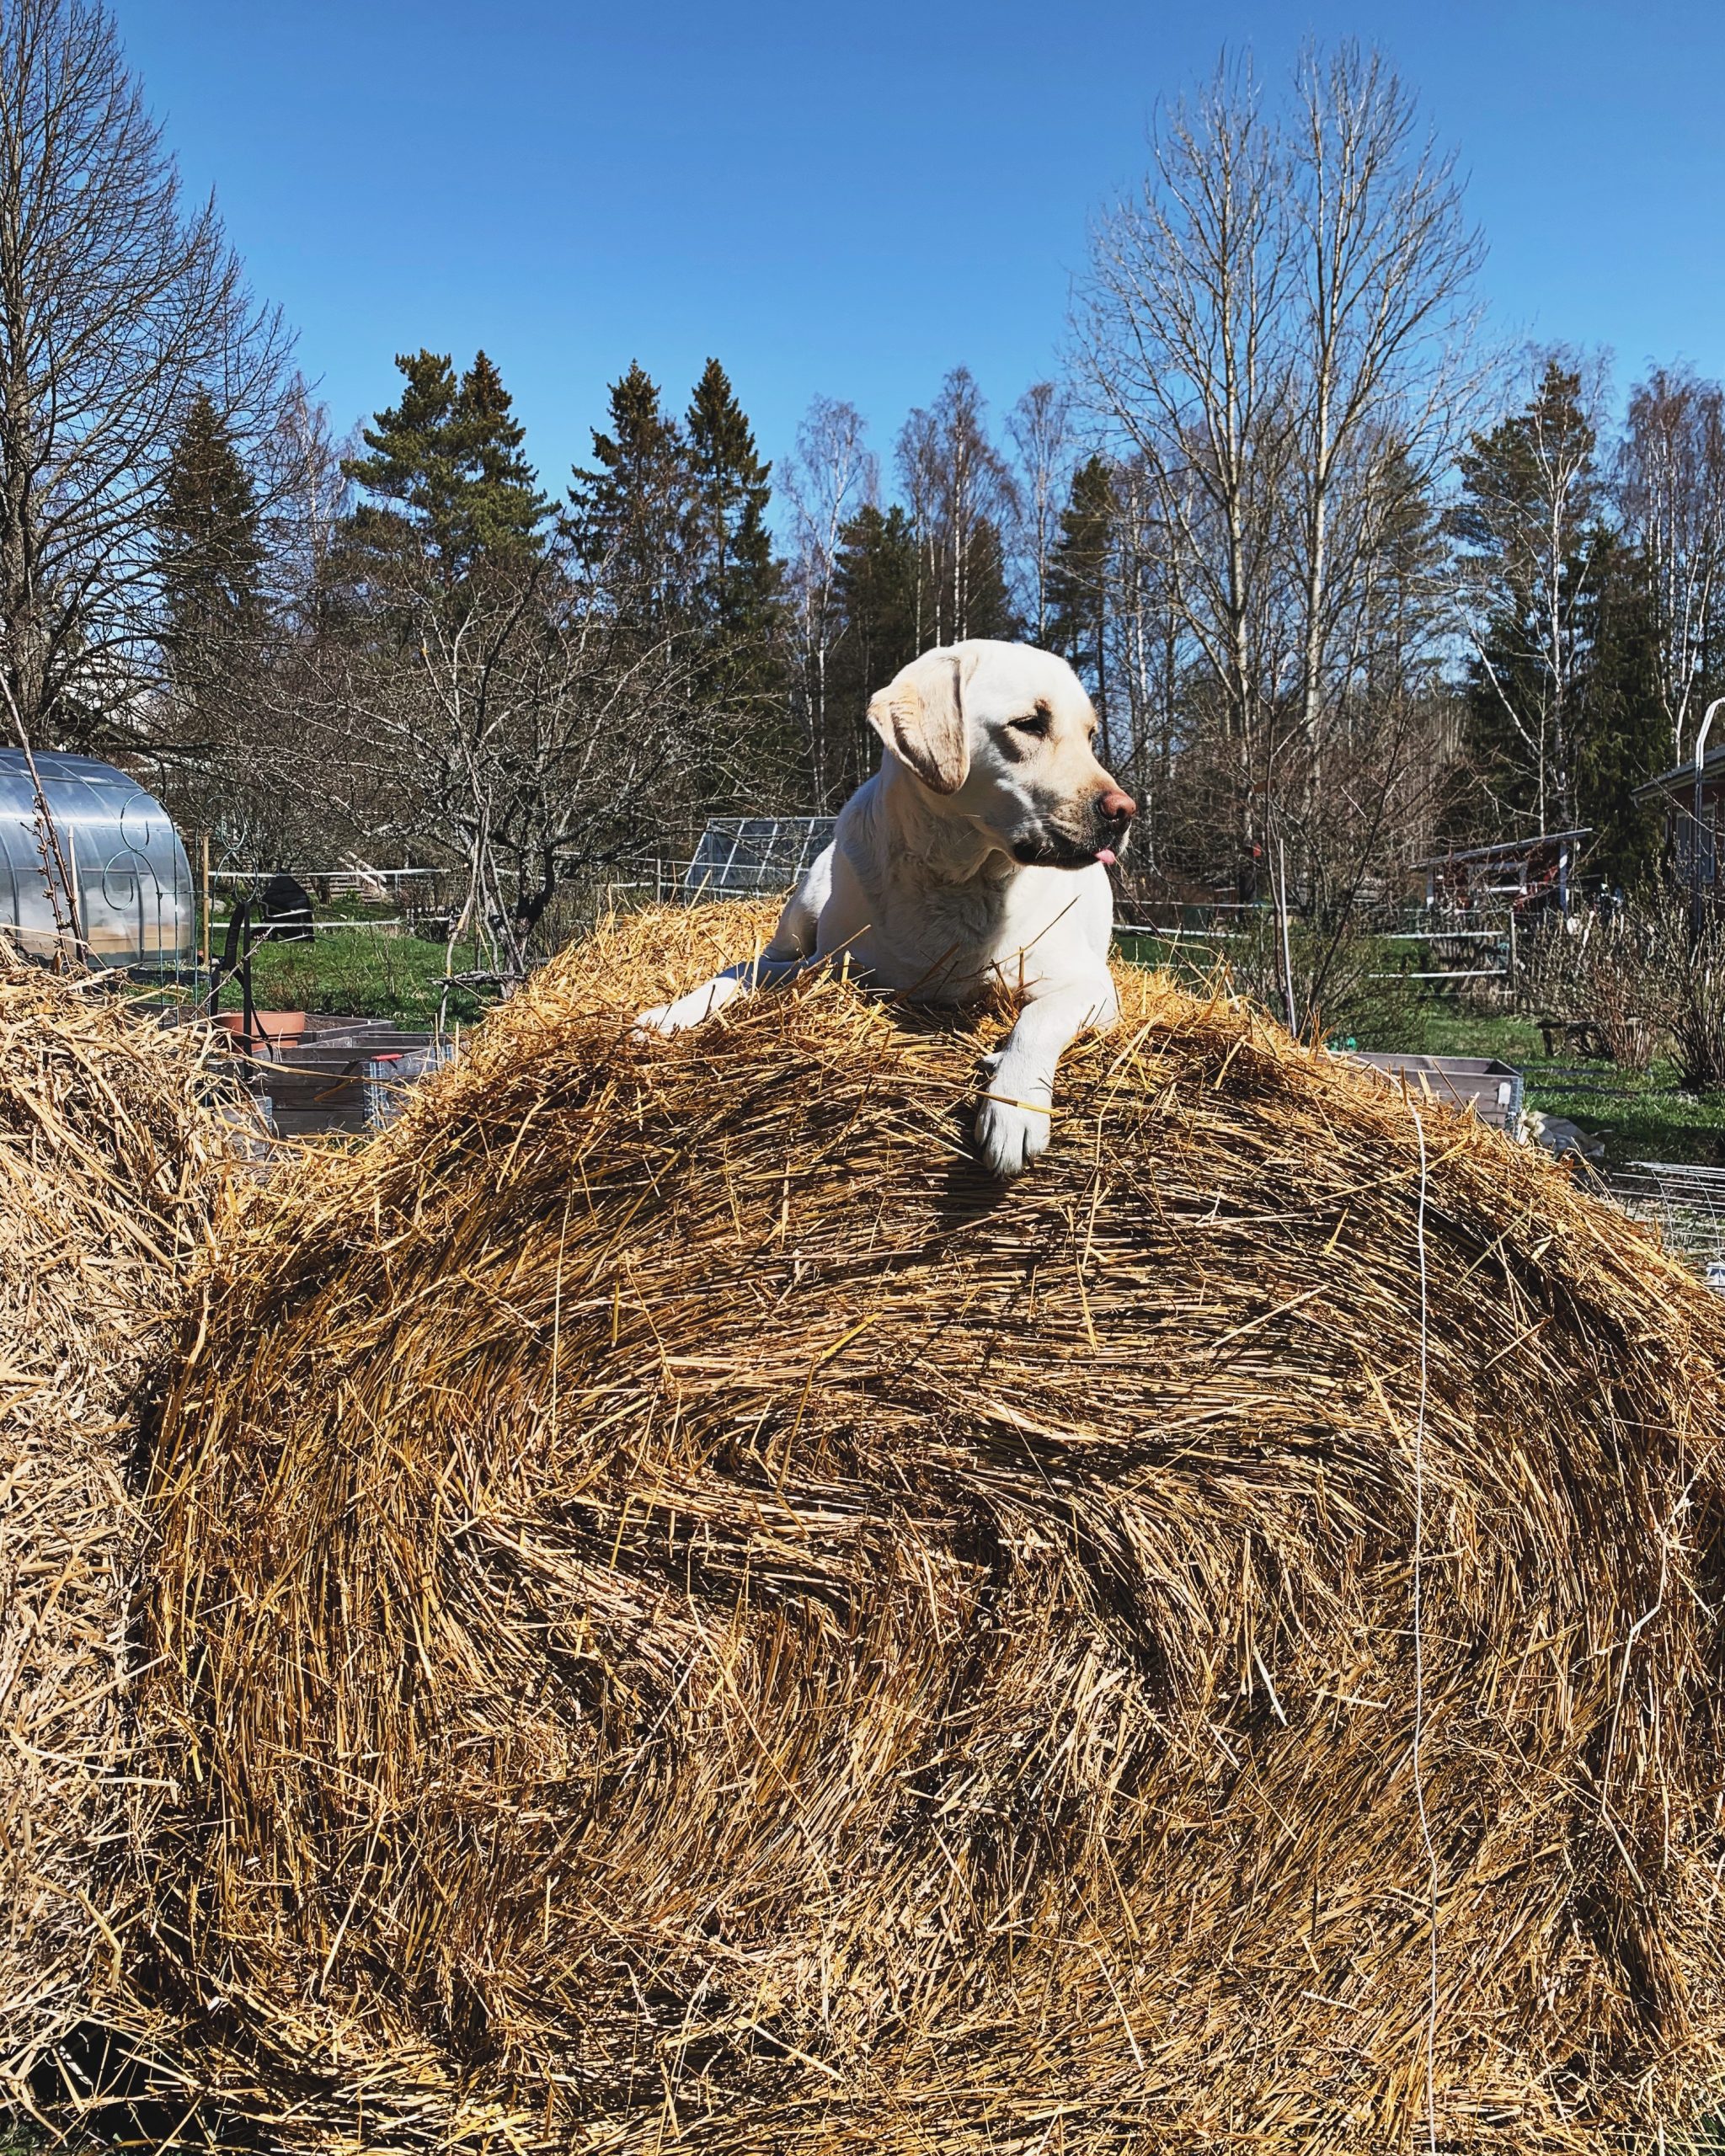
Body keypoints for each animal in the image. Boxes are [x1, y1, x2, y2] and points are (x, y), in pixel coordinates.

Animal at [633, 638, 1130, 1181]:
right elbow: (736, 972)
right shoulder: (827, 964)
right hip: (802, 911)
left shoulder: (1093, 986)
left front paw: (1015, 1105)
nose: (1125, 813)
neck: (958, 878)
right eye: (1030, 723)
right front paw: (672, 1013)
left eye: (1090, 735)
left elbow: (1037, 1017)